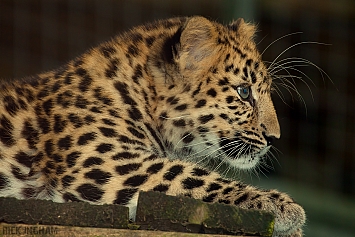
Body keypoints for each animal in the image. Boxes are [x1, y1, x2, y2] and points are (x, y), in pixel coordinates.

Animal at [0, 15, 306, 236]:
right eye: (243, 92)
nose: (274, 137)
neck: (136, 94)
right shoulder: (100, 160)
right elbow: (187, 174)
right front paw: (281, 206)